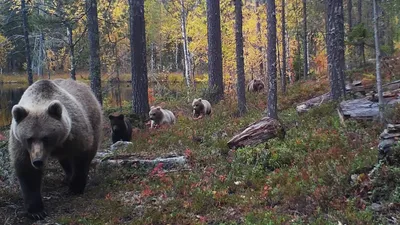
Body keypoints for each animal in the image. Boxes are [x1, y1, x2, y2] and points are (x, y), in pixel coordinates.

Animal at [8, 79, 103, 220]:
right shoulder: (20, 144)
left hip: (93, 118)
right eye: (29, 138)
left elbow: (81, 156)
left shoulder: (75, 133)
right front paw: (37, 211)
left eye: (45, 137)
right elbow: (27, 170)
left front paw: (75, 188)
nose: (38, 161)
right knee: (65, 160)